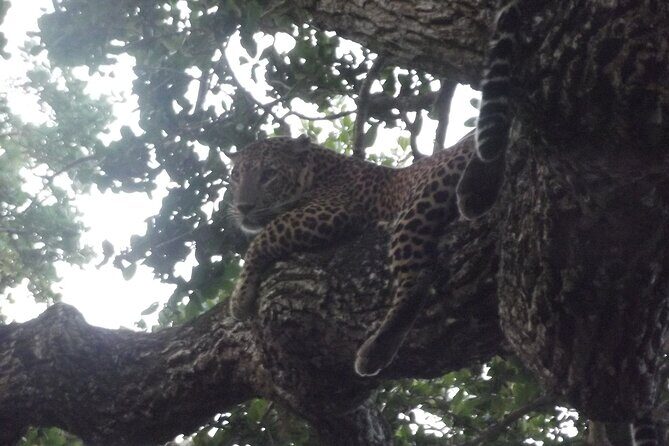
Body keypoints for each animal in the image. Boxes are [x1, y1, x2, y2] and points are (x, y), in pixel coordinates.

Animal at [227, 133, 480, 376]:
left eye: (269, 174)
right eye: (236, 177)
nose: (242, 207)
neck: (320, 170)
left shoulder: (330, 211)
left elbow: (266, 234)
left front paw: (239, 297)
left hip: (419, 202)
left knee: (417, 280)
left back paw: (374, 352)